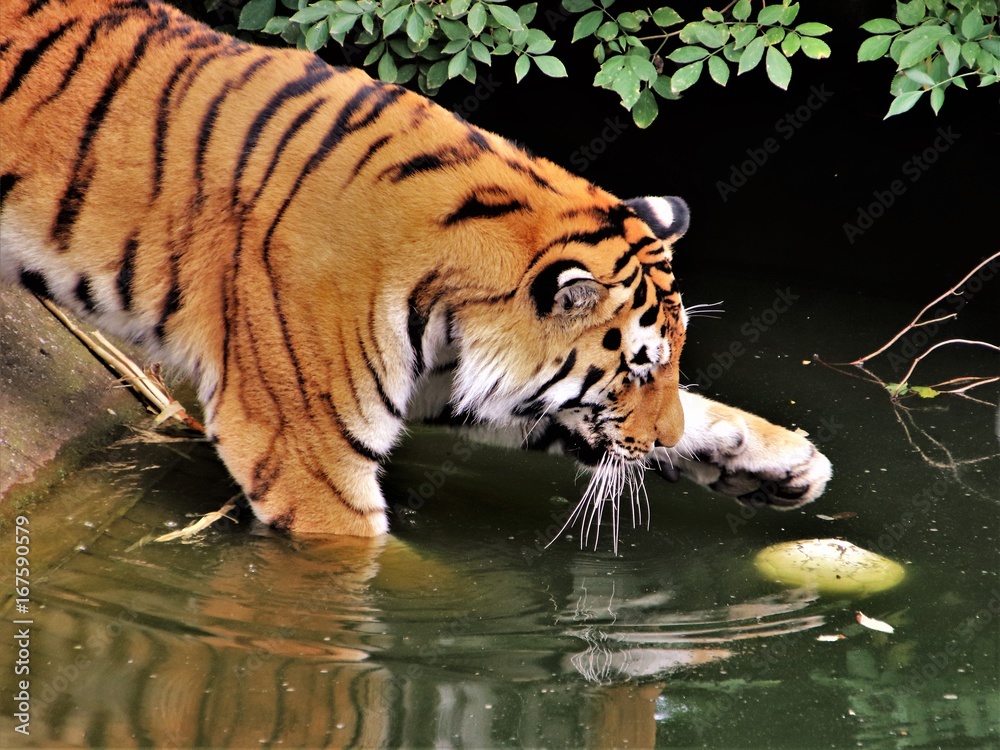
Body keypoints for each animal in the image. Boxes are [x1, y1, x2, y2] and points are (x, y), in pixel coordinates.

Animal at [0, 0, 832, 539]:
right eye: (634, 369)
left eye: (668, 363)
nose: (662, 442)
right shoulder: (301, 448)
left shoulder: (452, 381)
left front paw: (780, 463)